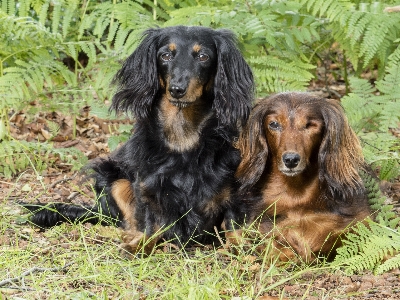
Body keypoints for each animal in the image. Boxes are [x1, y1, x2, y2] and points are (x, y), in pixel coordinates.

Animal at [25, 26, 255, 255]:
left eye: (203, 56)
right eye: (165, 55)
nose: (177, 90)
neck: (182, 135)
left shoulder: (231, 186)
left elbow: (233, 220)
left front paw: (242, 246)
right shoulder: (146, 184)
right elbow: (148, 220)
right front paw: (140, 244)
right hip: (114, 179)